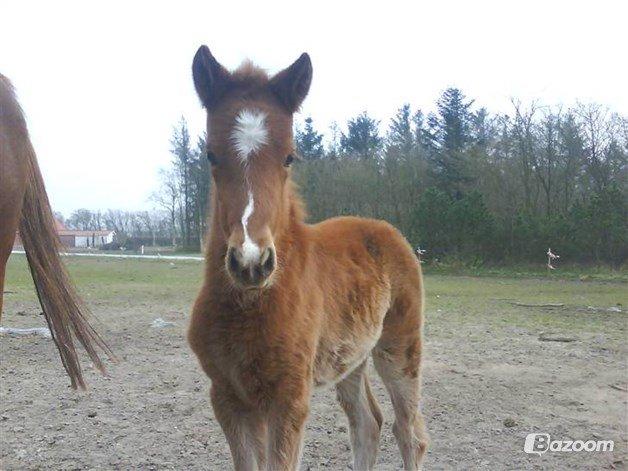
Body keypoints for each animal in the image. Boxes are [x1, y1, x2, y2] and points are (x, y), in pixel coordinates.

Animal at [189, 48, 430, 471]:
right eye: (210, 155)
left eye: (290, 157)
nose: (251, 262)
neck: (250, 307)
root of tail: (386, 230)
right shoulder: (228, 396)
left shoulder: (289, 399)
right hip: (351, 356)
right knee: (368, 423)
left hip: (399, 347)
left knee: (409, 432)